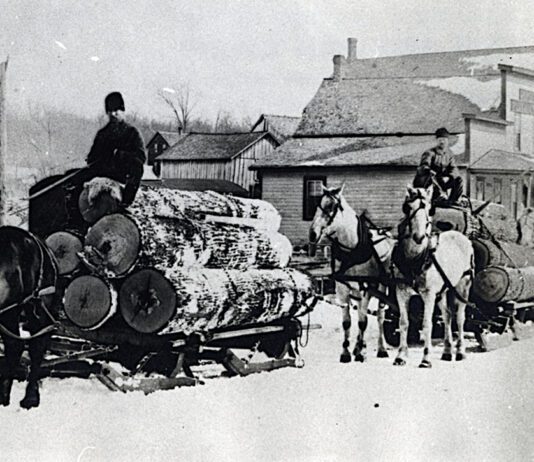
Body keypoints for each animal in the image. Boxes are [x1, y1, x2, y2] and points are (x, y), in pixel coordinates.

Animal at [309, 184, 396, 363]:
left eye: (331, 206)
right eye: (318, 204)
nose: (312, 234)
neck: (352, 250)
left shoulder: (366, 289)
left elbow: (363, 321)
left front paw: (360, 352)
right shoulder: (342, 289)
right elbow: (347, 322)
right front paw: (346, 352)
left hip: (382, 287)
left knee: (380, 316)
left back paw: (381, 348)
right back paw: (359, 346)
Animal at [393, 185, 475, 368]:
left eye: (430, 209)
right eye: (407, 208)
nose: (419, 237)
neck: (415, 259)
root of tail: (462, 236)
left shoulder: (429, 295)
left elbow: (427, 324)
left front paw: (426, 359)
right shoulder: (401, 291)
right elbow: (404, 322)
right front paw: (400, 356)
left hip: (463, 286)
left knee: (460, 318)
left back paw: (460, 351)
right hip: (443, 290)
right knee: (447, 316)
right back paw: (447, 352)